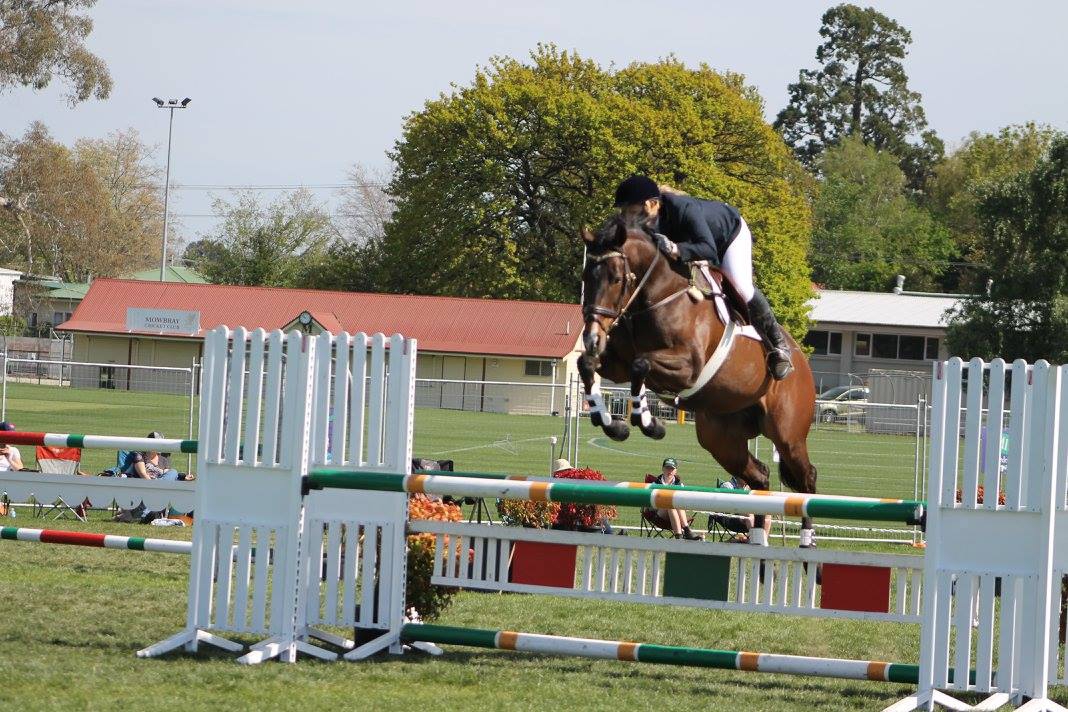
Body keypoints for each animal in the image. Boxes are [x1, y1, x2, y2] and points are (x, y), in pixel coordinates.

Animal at [585, 217, 815, 546]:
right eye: (586, 278)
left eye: (615, 278)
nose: (592, 337)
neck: (659, 295)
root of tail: (802, 362)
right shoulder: (617, 364)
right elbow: (588, 364)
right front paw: (612, 425)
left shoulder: (687, 367)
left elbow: (641, 364)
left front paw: (649, 424)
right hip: (721, 439)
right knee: (759, 475)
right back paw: (757, 536)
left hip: (788, 435)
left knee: (807, 477)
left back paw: (807, 539)